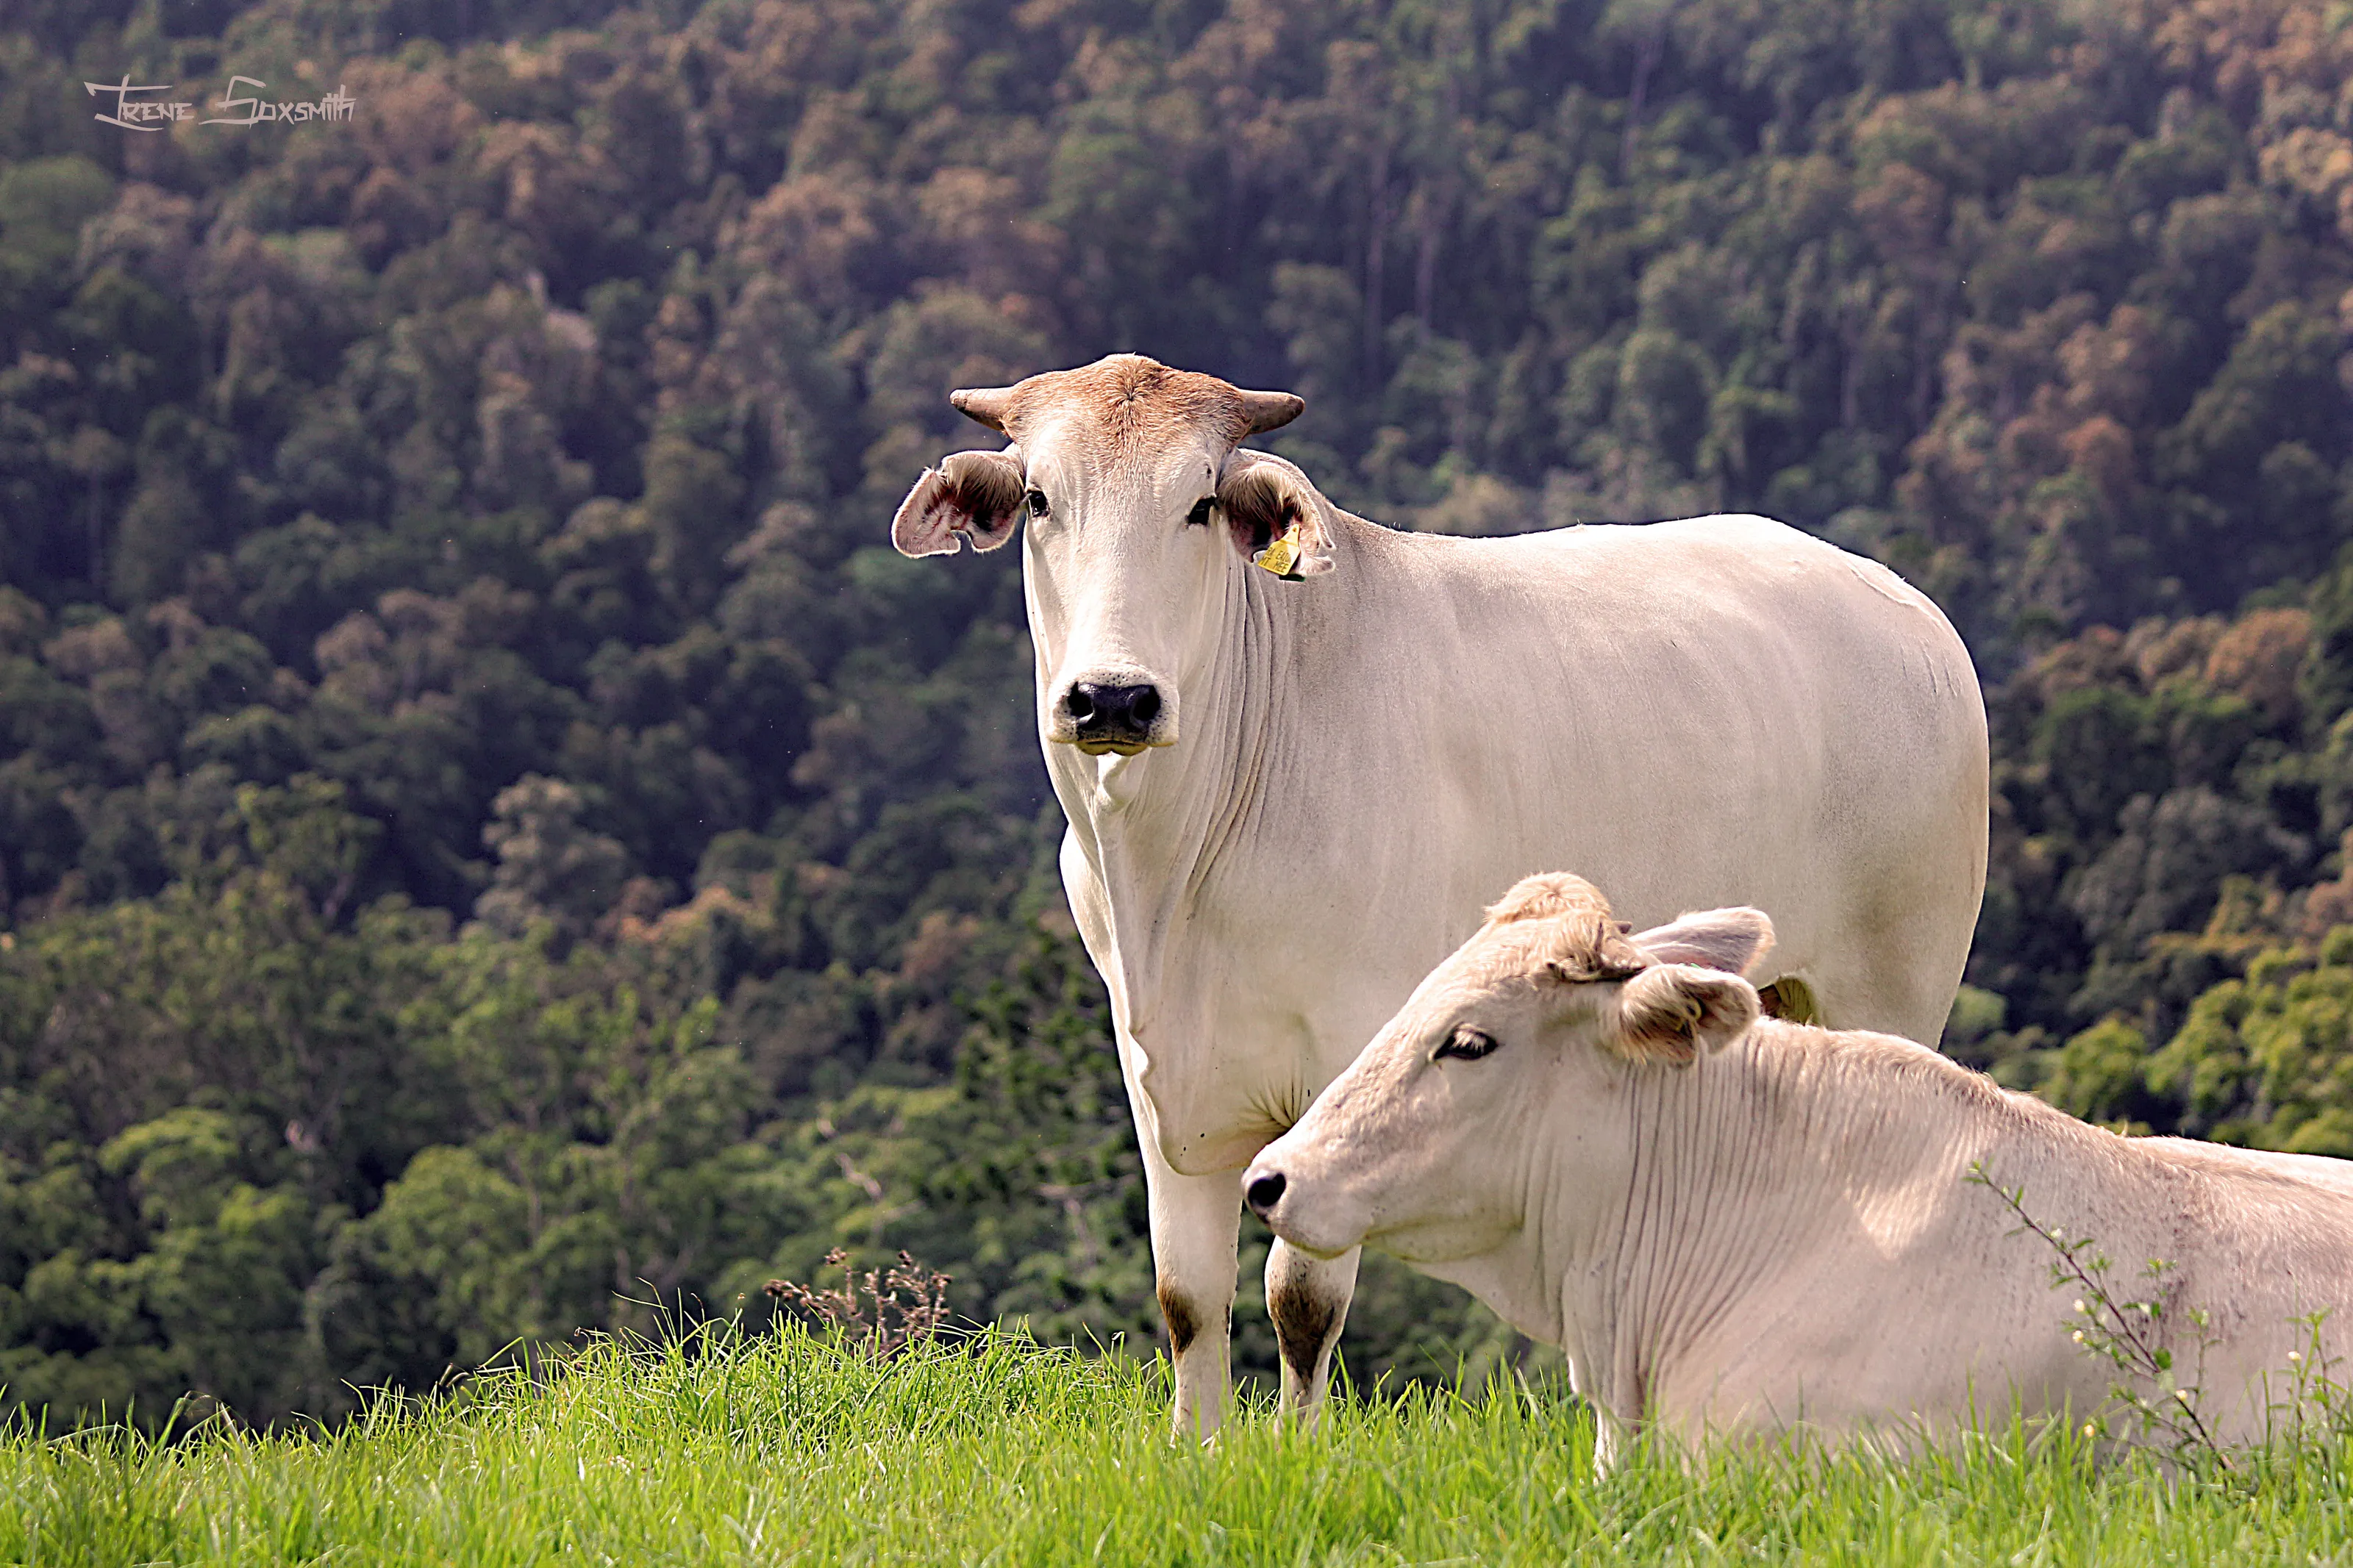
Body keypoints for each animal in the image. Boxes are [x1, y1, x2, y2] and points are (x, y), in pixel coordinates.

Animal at [889, 354, 1988, 1438]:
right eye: (1039, 497)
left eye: (1199, 503)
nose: (1112, 698)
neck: (1174, 869)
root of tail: (1908, 609)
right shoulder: (1159, 1073)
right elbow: (1188, 1299)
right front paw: (1196, 1452)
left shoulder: (1346, 1054)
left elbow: (1301, 1297)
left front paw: (1297, 1453)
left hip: (1897, 982)